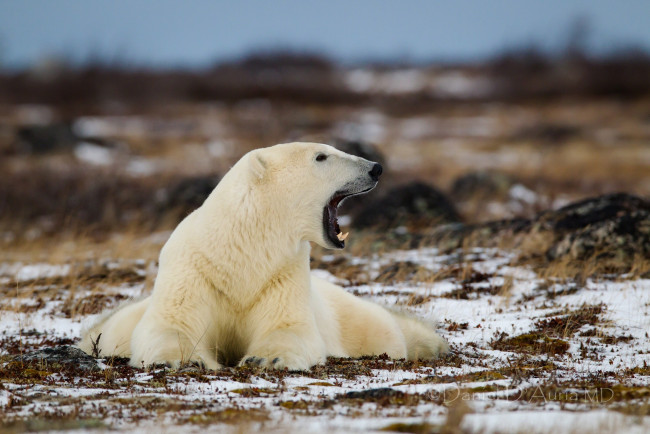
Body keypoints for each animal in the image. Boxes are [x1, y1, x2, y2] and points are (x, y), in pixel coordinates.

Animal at [78, 142, 446, 370]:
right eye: (322, 156)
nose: (375, 168)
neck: (240, 250)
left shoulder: (283, 273)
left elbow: (288, 325)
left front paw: (263, 359)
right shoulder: (192, 271)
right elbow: (172, 323)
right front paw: (185, 359)